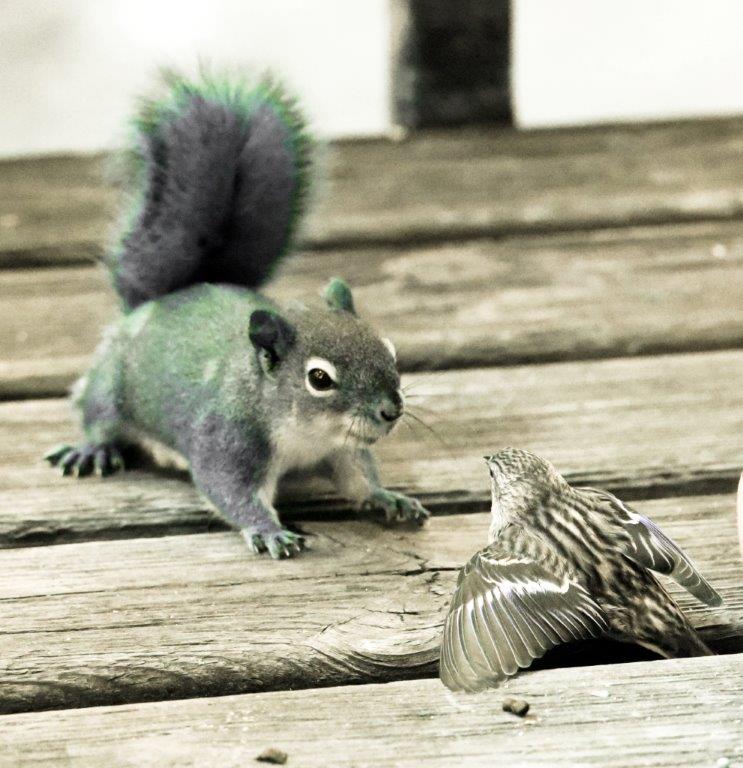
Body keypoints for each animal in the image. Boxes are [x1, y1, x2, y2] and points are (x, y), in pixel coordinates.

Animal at [45, 72, 429, 559]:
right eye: (319, 379)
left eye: (391, 352)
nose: (391, 410)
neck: (306, 436)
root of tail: (160, 301)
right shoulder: (227, 440)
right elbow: (231, 491)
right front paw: (267, 529)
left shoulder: (342, 449)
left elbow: (358, 476)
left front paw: (386, 497)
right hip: (110, 386)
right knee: (96, 415)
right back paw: (91, 449)